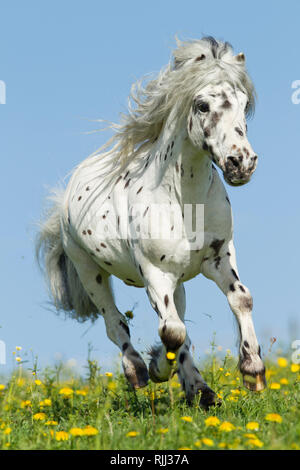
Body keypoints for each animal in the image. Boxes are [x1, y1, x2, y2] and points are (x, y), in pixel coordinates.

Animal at [37, 36, 264, 408]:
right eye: (202, 106)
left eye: (244, 105)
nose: (241, 163)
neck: (185, 201)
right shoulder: (155, 273)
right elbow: (171, 332)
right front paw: (158, 366)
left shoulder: (219, 257)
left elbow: (240, 299)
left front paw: (253, 371)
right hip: (90, 271)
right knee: (116, 323)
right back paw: (139, 372)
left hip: (178, 282)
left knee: (178, 326)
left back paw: (201, 391)